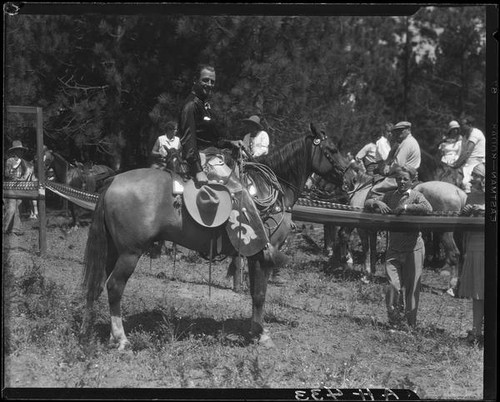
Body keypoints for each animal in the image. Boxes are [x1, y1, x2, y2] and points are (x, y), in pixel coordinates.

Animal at [81, 124, 348, 350]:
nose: (349, 177)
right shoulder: (262, 254)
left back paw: (106, 333)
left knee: (101, 284)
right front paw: (262, 335)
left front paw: (255, 331)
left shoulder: (254, 255)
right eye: (332, 150)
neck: (268, 188)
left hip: (114, 250)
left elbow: (255, 292)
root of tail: (114, 180)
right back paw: (122, 339)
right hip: (130, 252)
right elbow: (260, 294)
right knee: (115, 286)